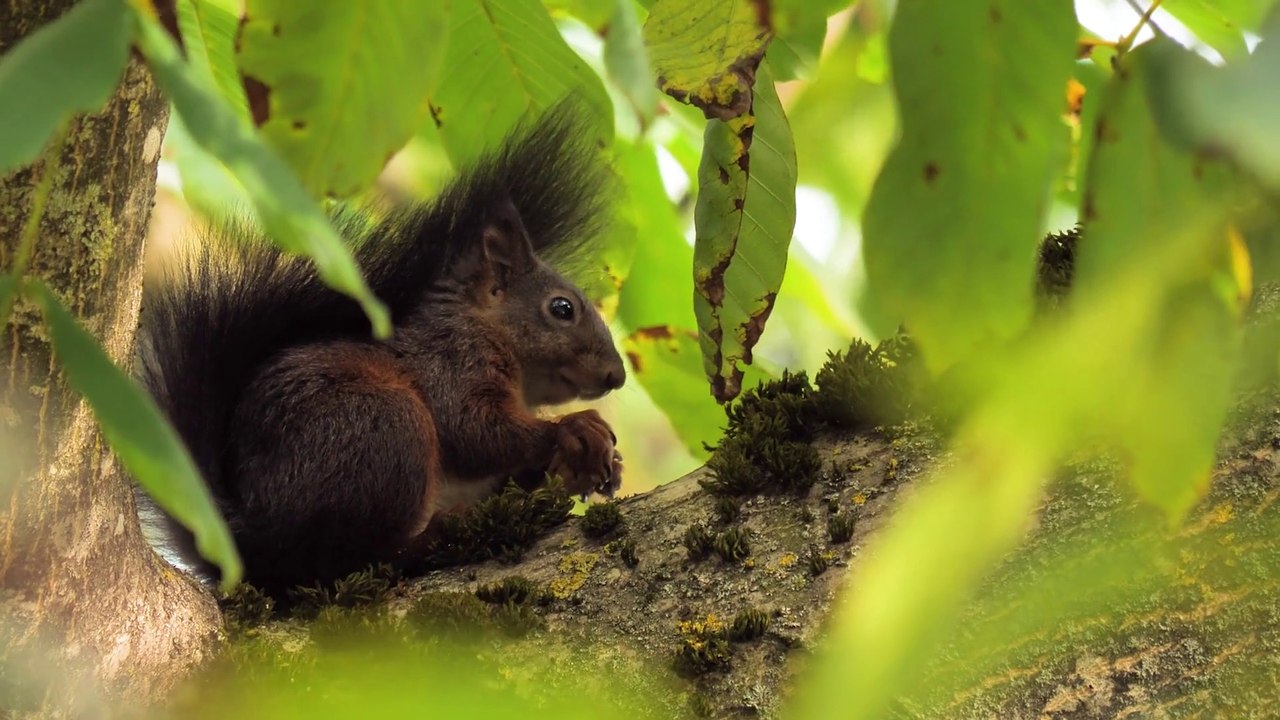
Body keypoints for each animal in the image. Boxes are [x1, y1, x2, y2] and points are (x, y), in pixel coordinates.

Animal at [138, 109, 627, 595]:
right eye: (562, 309)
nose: (616, 376)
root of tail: (249, 537)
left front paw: (582, 469)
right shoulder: (452, 361)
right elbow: (475, 430)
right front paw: (574, 429)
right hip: (386, 429)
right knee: (346, 559)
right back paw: (434, 538)